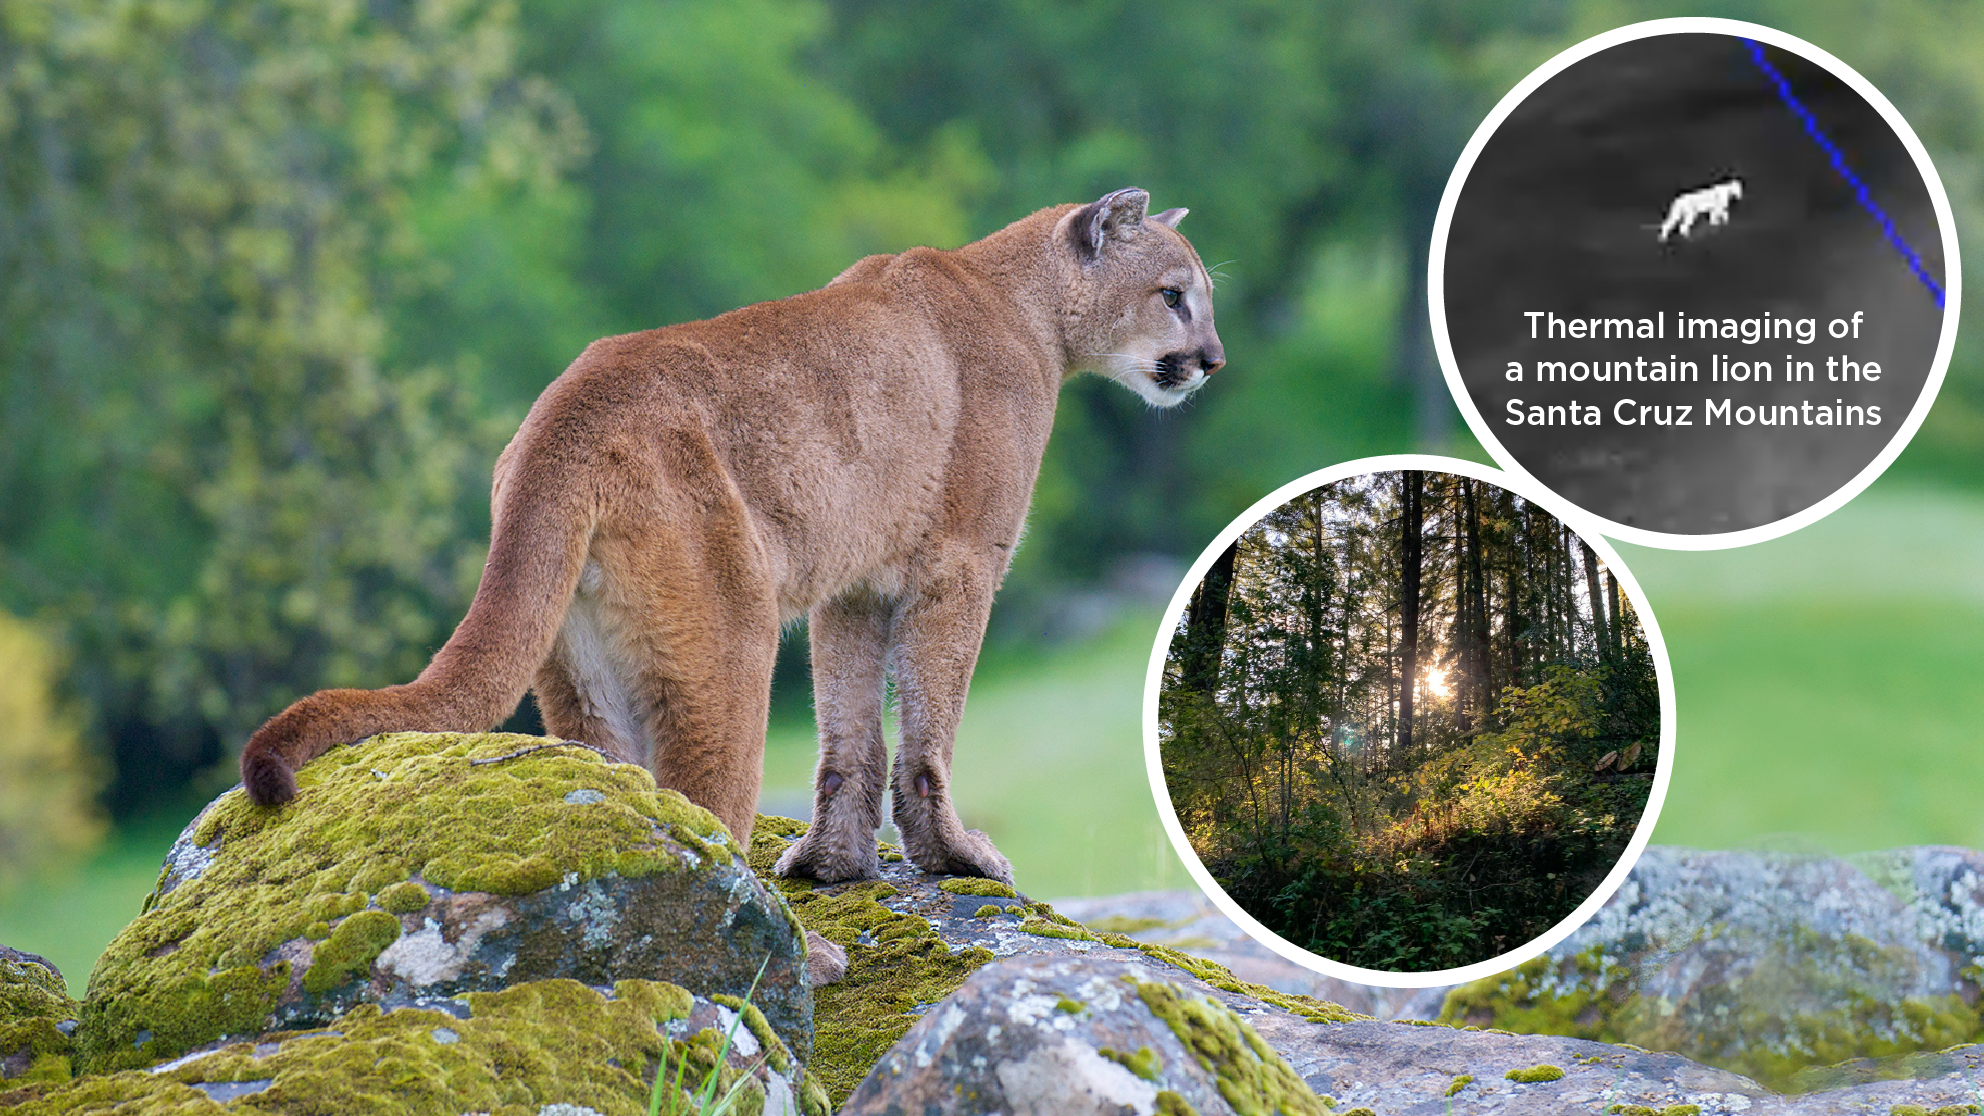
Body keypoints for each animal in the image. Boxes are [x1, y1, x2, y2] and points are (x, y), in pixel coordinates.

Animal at [238, 187, 1223, 898]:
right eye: (1174, 295)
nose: (1214, 360)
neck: (1027, 306)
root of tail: (567, 406)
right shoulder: (962, 563)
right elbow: (926, 731)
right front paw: (955, 856)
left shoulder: (854, 587)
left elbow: (847, 735)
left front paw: (833, 864)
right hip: (729, 639)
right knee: (705, 809)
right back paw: (795, 964)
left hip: (584, 671)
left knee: (629, 795)